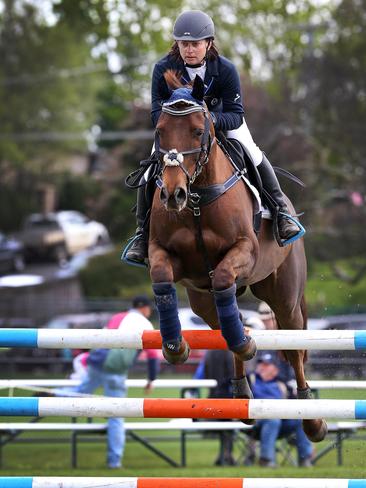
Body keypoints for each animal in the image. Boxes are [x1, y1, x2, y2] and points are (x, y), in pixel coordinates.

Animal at [147, 69, 328, 442]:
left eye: (198, 131)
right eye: (159, 132)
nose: (173, 195)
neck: (197, 199)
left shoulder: (244, 251)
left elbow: (224, 274)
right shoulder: (166, 255)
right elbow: (161, 276)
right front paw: (175, 346)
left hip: (285, 297)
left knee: (294, 350)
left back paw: (312, 420)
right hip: (201, 301)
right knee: (228, 319)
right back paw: (242, 388)